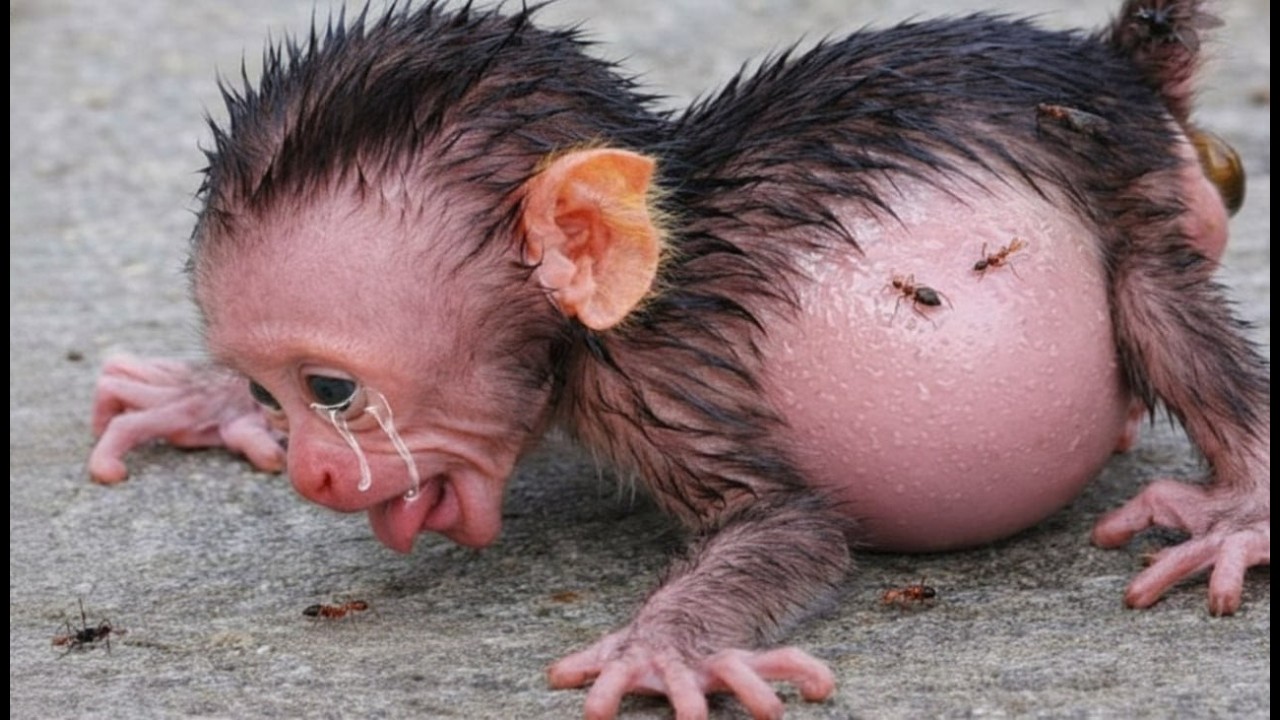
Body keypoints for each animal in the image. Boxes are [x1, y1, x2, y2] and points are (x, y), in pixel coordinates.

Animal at [86, 2, 1268, 719]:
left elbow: (790, 525)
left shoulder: (659, 381)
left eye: (334, 391)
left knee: (1152, 299)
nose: (314, 472)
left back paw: (1241, 509)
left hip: (1126, 186)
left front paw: (663, 646)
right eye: (271, 390)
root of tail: (1107, 64)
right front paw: (200, 403)